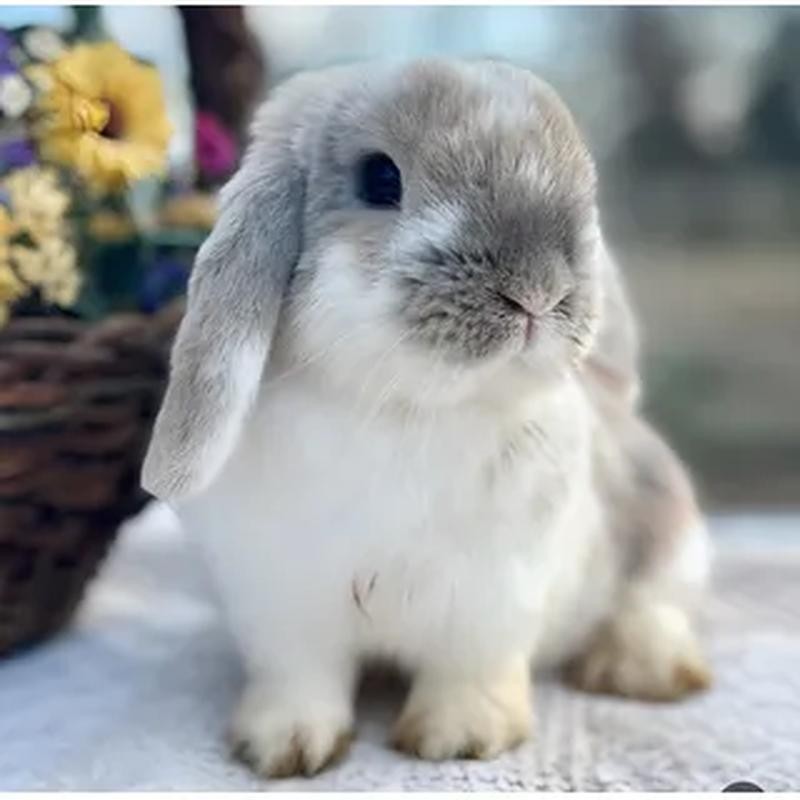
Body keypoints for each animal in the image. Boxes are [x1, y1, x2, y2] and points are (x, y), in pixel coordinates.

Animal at [142, 58, 712, 778]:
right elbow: (299, 677)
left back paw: (641, 668)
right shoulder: (279, 604)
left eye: (583, 193)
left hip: (669, 535)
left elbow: (469, 667)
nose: (538, 290)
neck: (408, 408)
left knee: (655, 602)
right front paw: (283, 747)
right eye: (380, 179)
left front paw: (458, 737)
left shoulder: (494, 597)